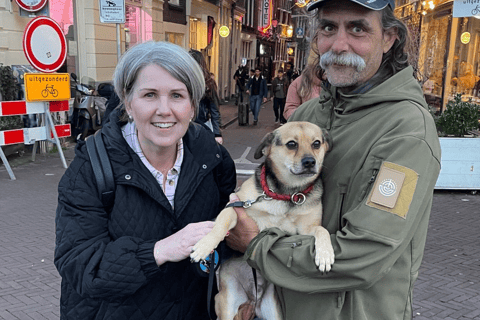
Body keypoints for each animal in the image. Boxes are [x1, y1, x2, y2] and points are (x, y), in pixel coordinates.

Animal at [190, 121, 334, 318]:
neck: (287, 194)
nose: (310, 162)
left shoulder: (307, 229)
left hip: (273, 311)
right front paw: (204, 246)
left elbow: (322, 230)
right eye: (291, 144)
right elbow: (220, 224)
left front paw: (325, 254)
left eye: (317, 143)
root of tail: (252, 298)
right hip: (226, 305)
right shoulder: (235, 207)